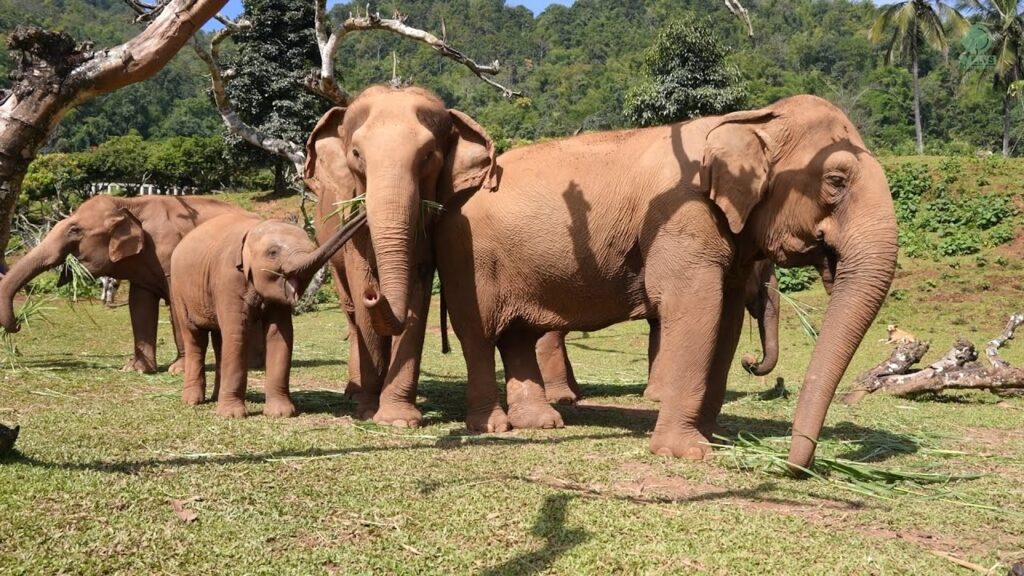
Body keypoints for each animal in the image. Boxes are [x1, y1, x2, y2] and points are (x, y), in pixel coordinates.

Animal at [0, 195, 247, 373]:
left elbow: (176, 307)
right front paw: (134, 369)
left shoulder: (171, 256)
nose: (19, 323)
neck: (129, 203)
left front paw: (178, 370)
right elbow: (139, 305)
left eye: (74, 229)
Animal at [169, 210, 366, 418]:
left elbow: (280, 335)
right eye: (273, 253)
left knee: (219, 339)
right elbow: (237, 334)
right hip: (179, 291)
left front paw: (280, 414)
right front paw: (232, 415)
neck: (253, 229)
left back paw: (215, 398)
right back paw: (192, 401)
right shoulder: (228, 278)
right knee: (195, 338)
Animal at [302, 85, 497, 428]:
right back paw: (353, 394)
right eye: (356, 154)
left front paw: (397, 420)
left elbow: (417, 290)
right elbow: (361, 281)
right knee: (350, 310)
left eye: (428, 156)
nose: (374, 293)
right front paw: (367, 411)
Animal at [426, 95, 896, 469]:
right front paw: (686, 452)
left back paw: (541, 423)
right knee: (478, 334)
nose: (794, 466)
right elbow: (695, 309)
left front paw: (709, 440)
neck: (752, 120)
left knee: (519, 334)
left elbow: (724, 320)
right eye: (836, 181)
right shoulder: (681, 219)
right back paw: (494, 426)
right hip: (467, 256)